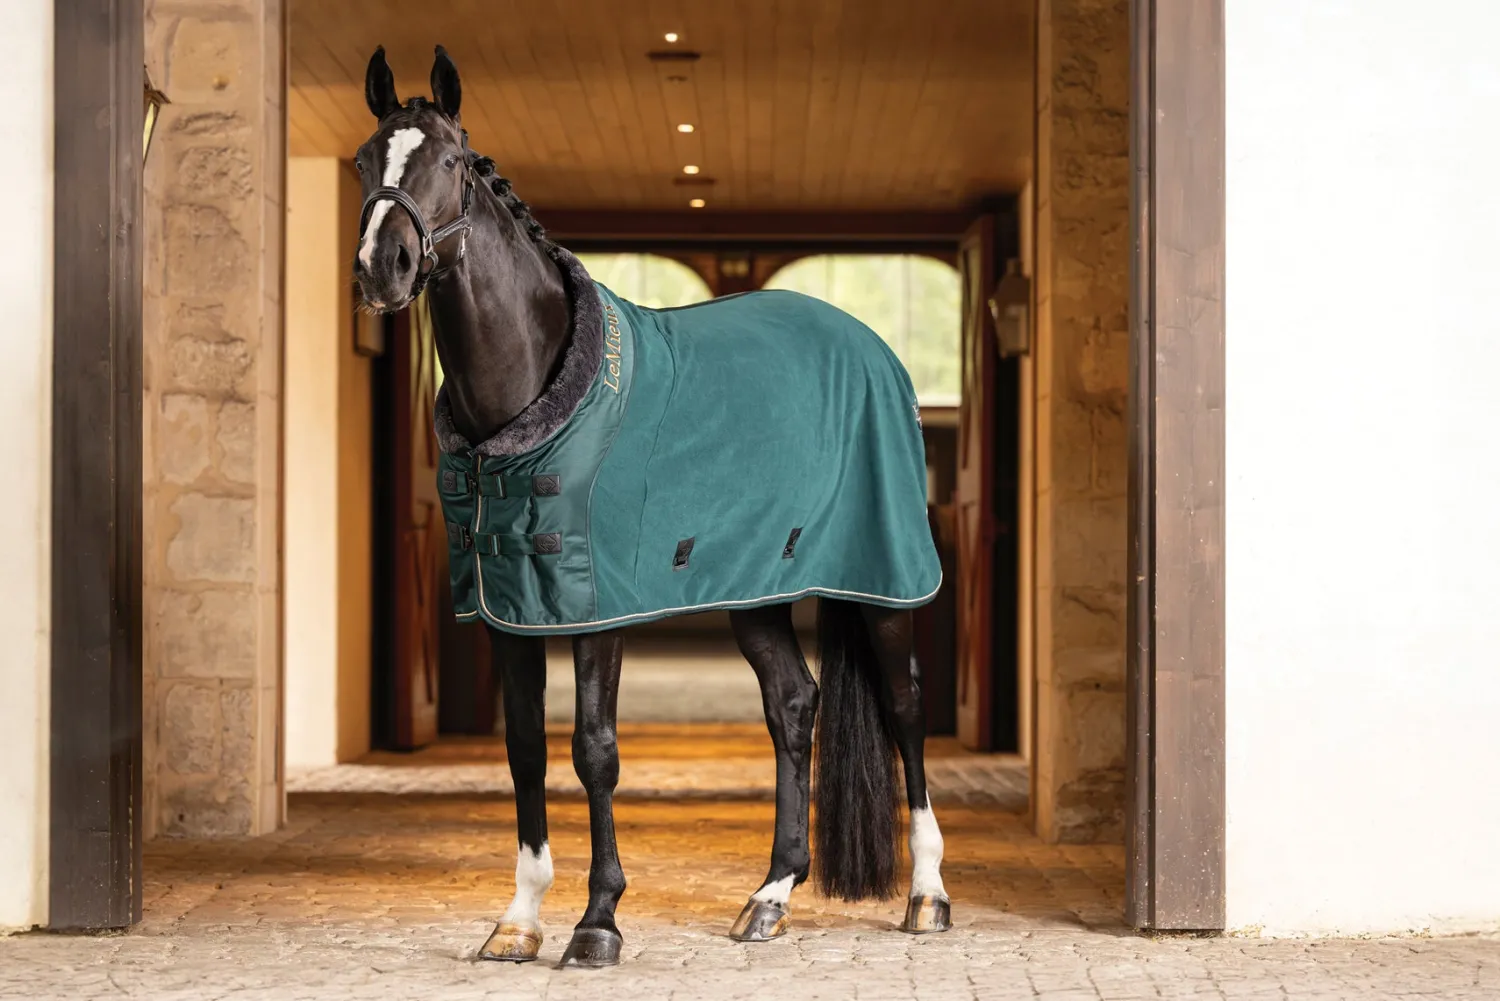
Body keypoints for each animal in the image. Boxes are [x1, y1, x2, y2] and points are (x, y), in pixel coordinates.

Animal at [352, 45, 952, 968]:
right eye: (362, 162)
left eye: (449, 162)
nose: (382, 269)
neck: (531, 390)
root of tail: (872, 348)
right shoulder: (506, 610)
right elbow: (525, 748)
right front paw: (519, 918)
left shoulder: (597, 610)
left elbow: (593, 750)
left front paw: (598, 920)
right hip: (757, 587)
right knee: (793, 705)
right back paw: (770, 895)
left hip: (881, 575)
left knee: (905, 705)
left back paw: (927, 893)